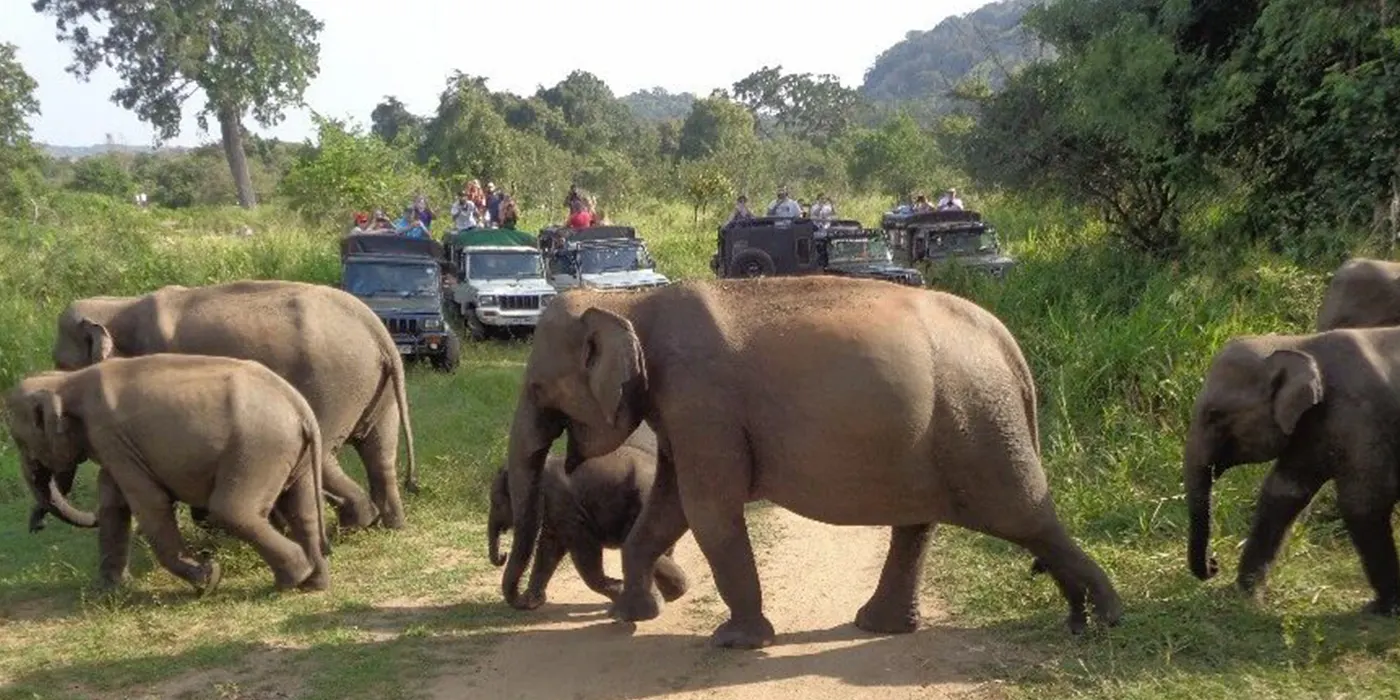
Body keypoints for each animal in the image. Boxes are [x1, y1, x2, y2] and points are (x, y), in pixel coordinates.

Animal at [4, 355, 329, 596]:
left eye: (21, 443)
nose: (36, 527)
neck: (66, 380)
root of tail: (299, 407)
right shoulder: (116, 446)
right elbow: (113, 506)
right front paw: (109, 593)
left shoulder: (111, 437)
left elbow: (150, 505)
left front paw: (209, 579)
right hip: (289, 452)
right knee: (303, 511)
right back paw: (313, 583)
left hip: (257, 449)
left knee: (231, 511)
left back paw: (291, 580)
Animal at [32, 278, 414, 529]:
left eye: (62, 364)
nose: (36, 525)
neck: (117, 305)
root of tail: (374, 327)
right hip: (372, 385)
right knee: (379, 449)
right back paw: (386, 522)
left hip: (332, 381)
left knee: (324, 453)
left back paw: (358, 520)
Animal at [490, 422, 691, 610]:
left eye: (497, 503)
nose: (502, 556)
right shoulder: (556, 512)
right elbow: (548, 550)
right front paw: (533, 601)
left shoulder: (567, 507)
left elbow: (584, 551)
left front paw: (618, 589)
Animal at [1187, 324, 1400, 616]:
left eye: (1215, 415)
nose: (1214, 564)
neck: (1299, 344)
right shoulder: (1310, 427)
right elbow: (1283, 492)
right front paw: (1245, 598)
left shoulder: (1361, 417)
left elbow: (1363, 501)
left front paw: (1381, 608)